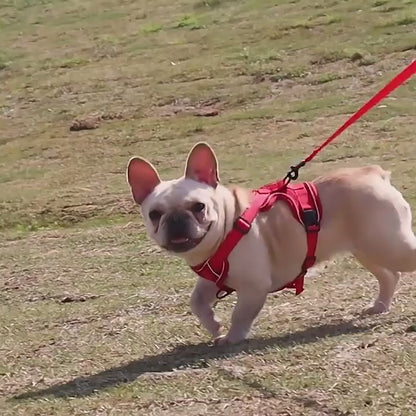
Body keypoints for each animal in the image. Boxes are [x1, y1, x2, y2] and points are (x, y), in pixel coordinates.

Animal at [127, 143, 416, 344]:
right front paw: (214, 325)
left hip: (390, 246)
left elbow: (240, 315)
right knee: (389, 276)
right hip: (369, 249)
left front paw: (232, 337)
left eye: (199, 207)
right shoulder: (212, 279)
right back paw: (380, 306)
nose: (176, 220)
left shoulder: (254, 288)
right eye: (155, 214)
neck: (229, 224)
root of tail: (374, 174)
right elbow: (196, 302)